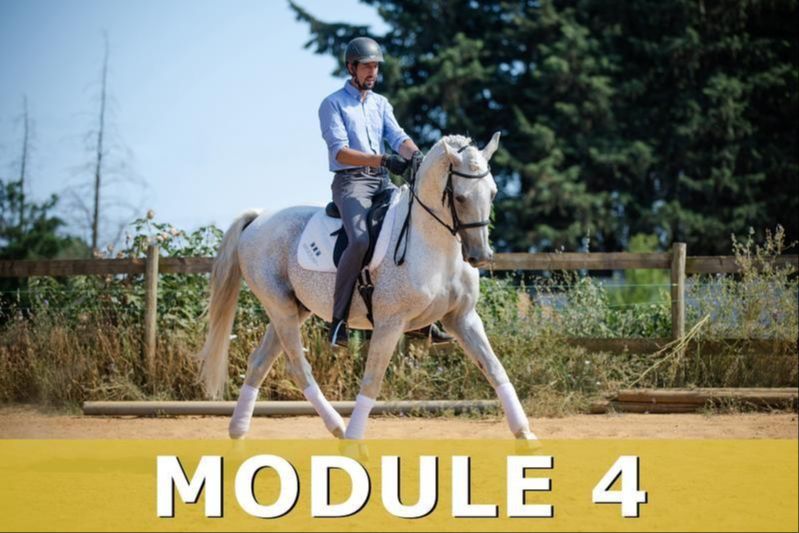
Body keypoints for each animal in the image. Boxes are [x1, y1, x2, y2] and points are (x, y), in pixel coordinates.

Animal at [194, 132, 537, 441]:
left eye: (493, 193)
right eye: (460, 197)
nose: (480, 256)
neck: (435, 245)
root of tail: (259, 218)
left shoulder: (462, 319)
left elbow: (495, 369)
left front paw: (525, 434)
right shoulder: (389, 324)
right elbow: (372, 381)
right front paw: (356, 443)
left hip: (294, 308)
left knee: (260, 362)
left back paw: (238, 431)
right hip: (280, 307)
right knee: (298, 367)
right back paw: (338, 428)